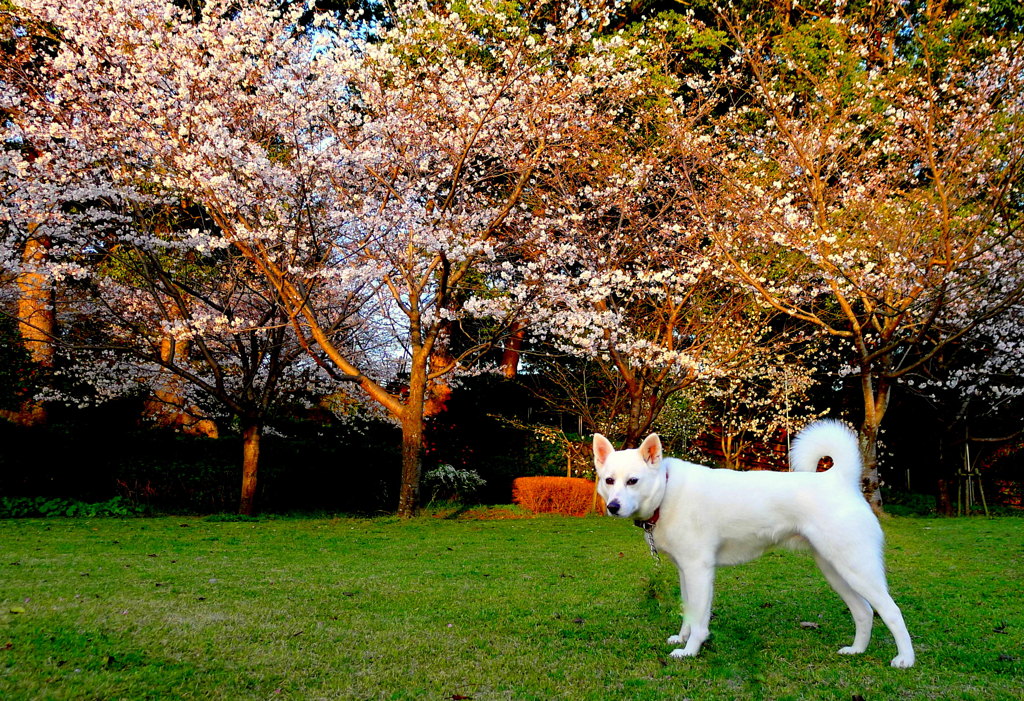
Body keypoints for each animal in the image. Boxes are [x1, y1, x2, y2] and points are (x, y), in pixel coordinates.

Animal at [598, 421, 917, 667]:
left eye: (633, 481)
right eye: (609, 480)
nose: (613, 507)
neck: (665, 491)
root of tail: (839, 480)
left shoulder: (699, 571)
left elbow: (699, 619)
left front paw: (690, 651)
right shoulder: (685, 571)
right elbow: (688, 612)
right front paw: (683, 638)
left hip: (857, 569)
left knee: (891, 612)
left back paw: (905, 659)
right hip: (835, 570)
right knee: (864, 612)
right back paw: (857, 651)